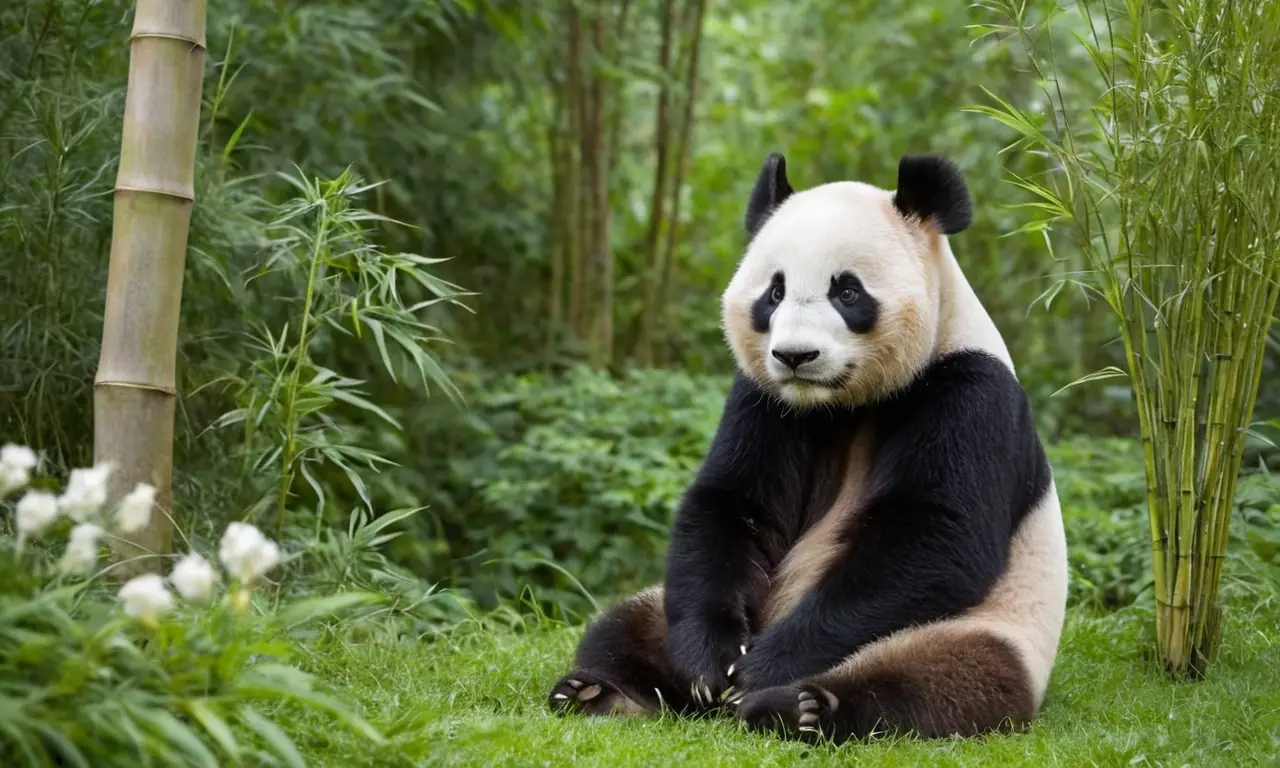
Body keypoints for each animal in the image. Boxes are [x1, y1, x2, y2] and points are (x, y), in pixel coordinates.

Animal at [547, 151, 1068, 745]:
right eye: (773, 292)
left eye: (847, 292)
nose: (795, 355)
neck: (845, 402)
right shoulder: (765, 399)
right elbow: (732, 503)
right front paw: (711, 665)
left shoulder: (971, 394)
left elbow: (936, 535)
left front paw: (760, 671)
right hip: (695, 604)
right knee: (625, 624)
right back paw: (603, 693)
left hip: (978, 628)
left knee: (943, 681)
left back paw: (801, 707)